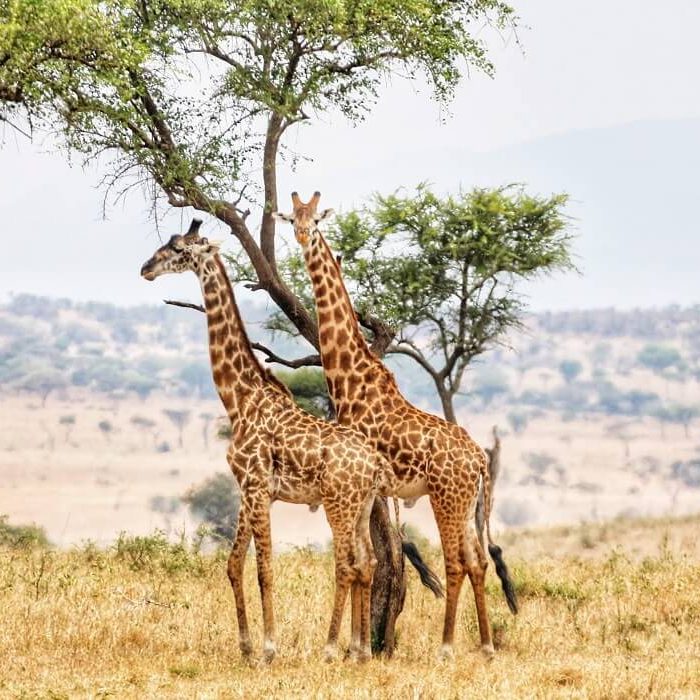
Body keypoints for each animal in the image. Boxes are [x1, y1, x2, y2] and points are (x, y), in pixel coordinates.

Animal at [140, 218, 391, 662]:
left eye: (179, 249)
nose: (145, 268)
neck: (240, 398)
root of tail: (374, 463)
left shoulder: (257, 487)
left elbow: (264, 569)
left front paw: (270, 647)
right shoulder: (248, 489)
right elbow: (232, 563)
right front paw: (244, 645)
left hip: (339, 504)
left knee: (347, 565)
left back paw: (331, 648)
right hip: (361, 506)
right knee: (368, 562)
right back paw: (359, 651)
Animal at [274, 192, 519, 660]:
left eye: (316, 220)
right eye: (290, 219)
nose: (302, 236)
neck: (351, 378)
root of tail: (480, 461)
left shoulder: (363, 485)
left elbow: (365, 558)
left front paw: (355, 648)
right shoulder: (370, 488)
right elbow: (370, 559)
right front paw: (358, 647)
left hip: (446, 498)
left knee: (456, 561)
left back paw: (447, 647)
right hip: (467, 504)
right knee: (478, 560)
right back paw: (485, 646)